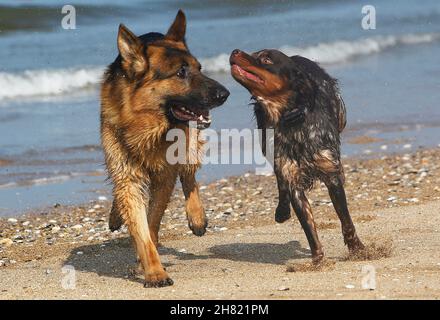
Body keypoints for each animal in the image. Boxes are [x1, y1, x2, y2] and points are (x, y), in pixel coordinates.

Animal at [100, 10, 230, 288]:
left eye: (199, 68)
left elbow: (151, 223)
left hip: (189, 142)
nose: (225, 94)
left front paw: (147, 266)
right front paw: (154, 271)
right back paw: (116, 215)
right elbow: (141, 228)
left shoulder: (164, 177)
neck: (145, 125)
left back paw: (196, 216)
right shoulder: (128, 176)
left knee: (189, 173)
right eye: (181, 72)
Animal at [230, 47, 364, 262]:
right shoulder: (293, 180)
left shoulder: (331, 176)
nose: (235, 51)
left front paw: (357, 249)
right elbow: (308, 226)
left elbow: (346, 220)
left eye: (266, 59)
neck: (290, 121)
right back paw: (282, 211)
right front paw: (317, 259)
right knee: (280, 181)